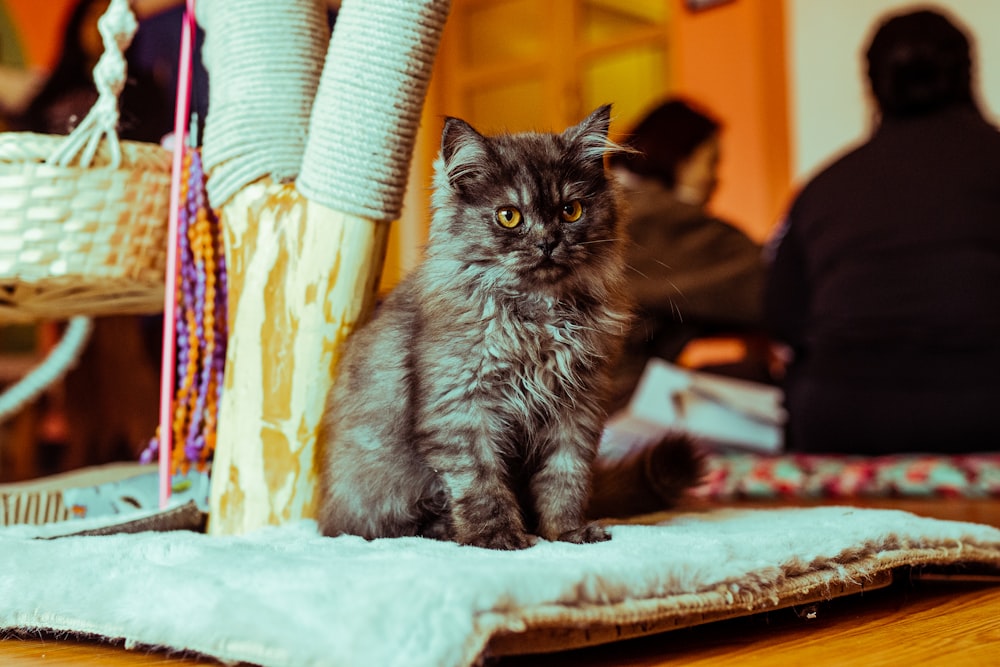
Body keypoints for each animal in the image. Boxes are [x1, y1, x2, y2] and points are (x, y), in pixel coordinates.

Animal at [316, 107, 700, 552]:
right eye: (509, 216)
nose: (548, 242)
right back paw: (446, 531)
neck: (538, 318)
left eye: (571, 211)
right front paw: (497, 538)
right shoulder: (463, 409)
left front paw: (566, 533)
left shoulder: (577, 408)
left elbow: (565, 479)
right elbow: (481, 485)